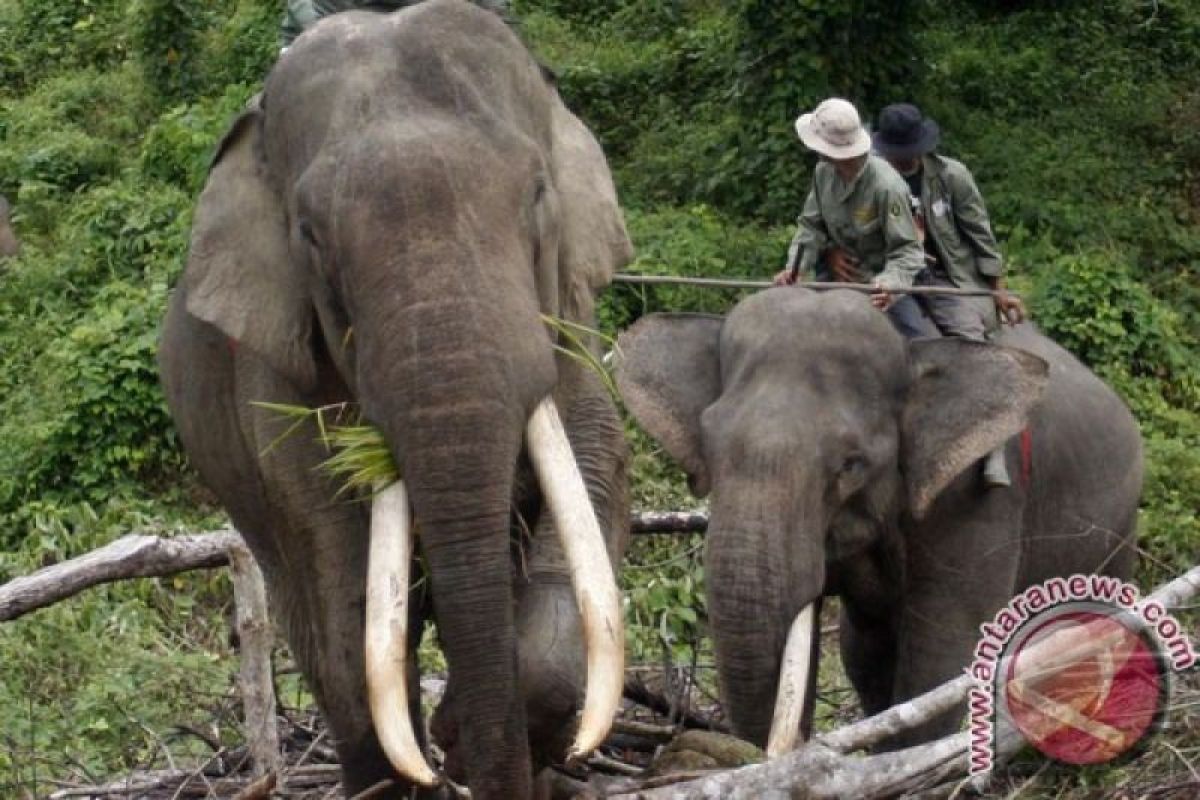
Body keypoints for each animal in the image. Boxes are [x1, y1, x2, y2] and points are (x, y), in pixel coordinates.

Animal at [159, 3, 638, 796]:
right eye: (310, 235)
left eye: (538, 193)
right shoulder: (280, 378)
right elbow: (342, 574)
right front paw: (442, 744)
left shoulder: (575, 322)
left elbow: (595, 477)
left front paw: (465, 738)